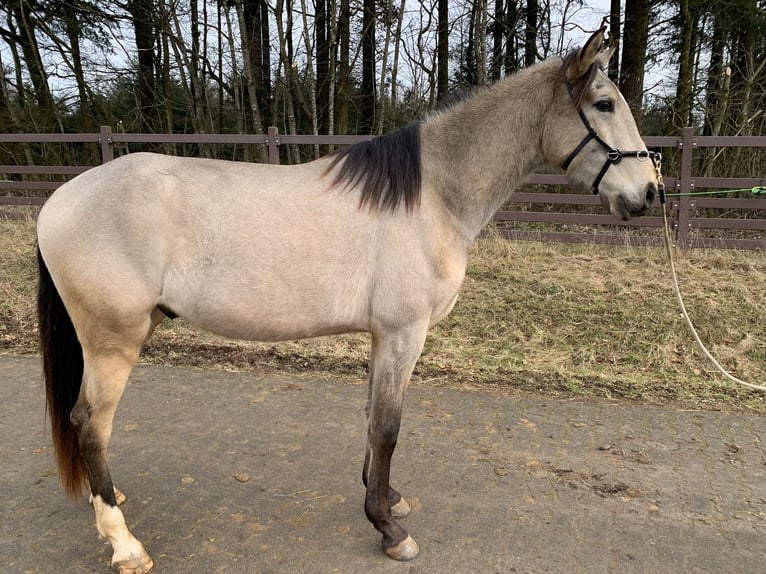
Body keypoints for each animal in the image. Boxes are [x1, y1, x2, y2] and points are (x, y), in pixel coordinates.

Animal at [36, 29, 660, 572]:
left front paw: (387, 498)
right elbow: (387, 428)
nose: (648, 193)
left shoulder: (384, 336)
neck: (431, 195)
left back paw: (108, 503)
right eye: (604, 103)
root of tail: (60, 199)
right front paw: (388, 529)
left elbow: (370, 421)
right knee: (89, 424)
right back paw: (124, 544)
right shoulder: (404, 333)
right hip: (113, 341)